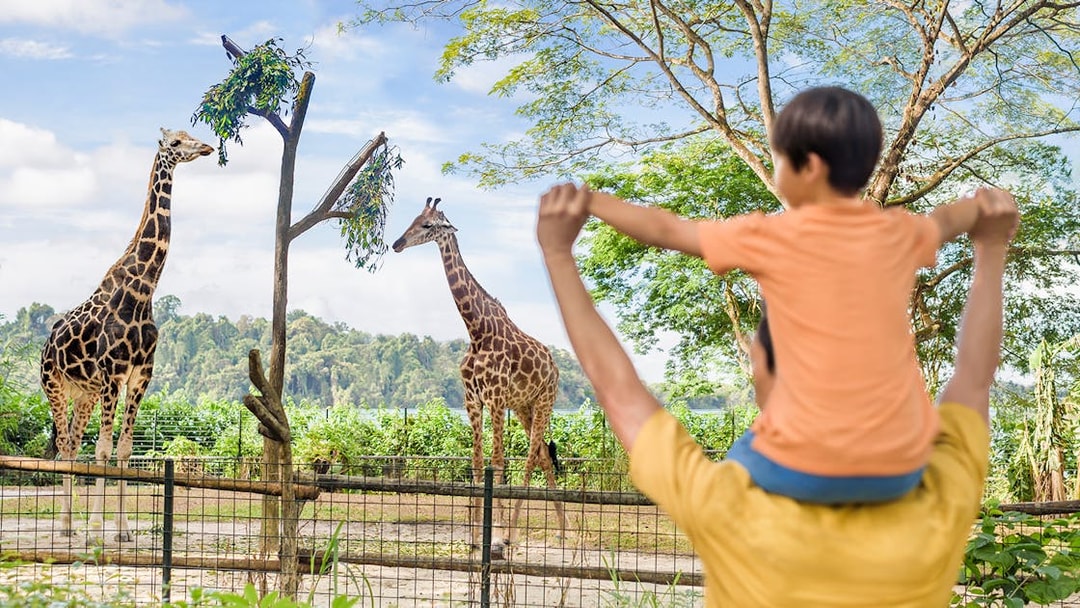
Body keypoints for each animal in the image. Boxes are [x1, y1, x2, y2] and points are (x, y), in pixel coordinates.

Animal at [40, 128, 213, 542]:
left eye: (190, 135)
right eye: (176, 142)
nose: (206, 147)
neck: (143, 292)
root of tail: (46, 345)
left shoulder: (140, 376)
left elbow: (123, 449)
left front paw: (121, 530)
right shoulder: (113, 374)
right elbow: (103, 449)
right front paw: (97, 528)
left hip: (84, 394)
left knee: (72, 444)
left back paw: (70, 524)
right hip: (54, 385)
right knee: (66, 444)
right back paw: (67, 526)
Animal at [392, 197, 568, 557]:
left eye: (428, 225)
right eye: (413, 218)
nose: (397, 244)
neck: (476, 330)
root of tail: (555, 367)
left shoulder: (496, 398)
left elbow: (497, 462)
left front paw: (496, 537)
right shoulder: (472, 400)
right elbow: (476, 463)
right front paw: (474, 539)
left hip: (545, 401)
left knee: (530, 458)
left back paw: (514, 534)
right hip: (525, 407)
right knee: (544, 456)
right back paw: (563, 531)